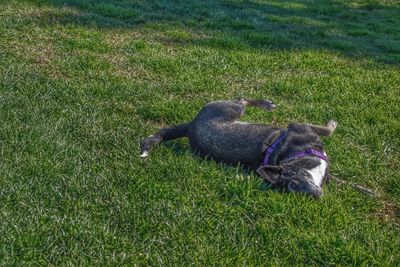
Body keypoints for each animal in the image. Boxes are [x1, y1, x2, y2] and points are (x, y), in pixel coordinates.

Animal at [141, 100, 338, 199]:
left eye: (301, 178)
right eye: (294, 188)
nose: (317, 196)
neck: (296, 154)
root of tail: (190, 126)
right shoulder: (301, 126)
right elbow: (328, 130)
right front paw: (333, 124)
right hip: (233, 109)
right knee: (241, 99)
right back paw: (265, 104)